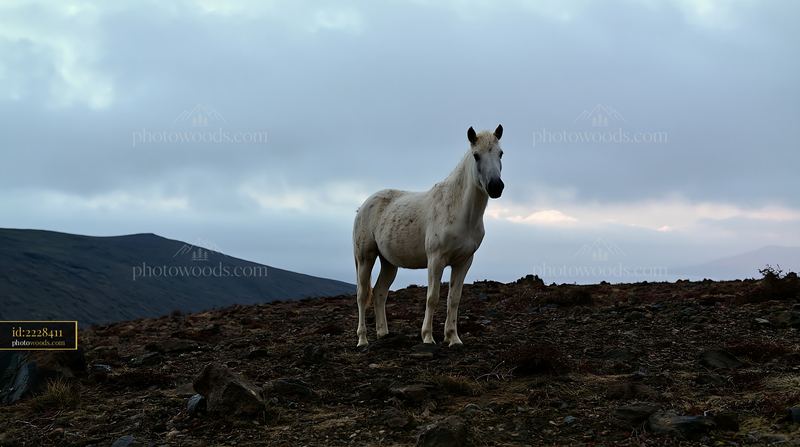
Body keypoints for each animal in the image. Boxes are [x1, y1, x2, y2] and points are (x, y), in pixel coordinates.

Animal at [352, 125, 505, 347]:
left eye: (500, 153)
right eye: (476, 155)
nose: (496, 187)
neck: (460, 211)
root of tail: (363, 205)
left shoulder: (464, 261)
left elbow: (454, 299)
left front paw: (453, 338)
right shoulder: (436, 260)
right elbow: (432, 297)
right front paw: (428, 337)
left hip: (389, 262)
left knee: (380, 292)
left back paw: (383, 333)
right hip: (365, 257)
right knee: (363, 296)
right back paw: (363, 340)